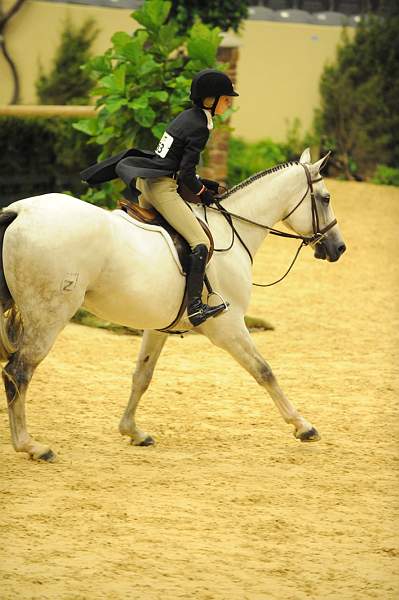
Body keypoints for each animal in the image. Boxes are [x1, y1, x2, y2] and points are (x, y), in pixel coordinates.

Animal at [0, 148, 346, 462]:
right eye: (326, 198)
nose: (339, 248)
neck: (232, 232)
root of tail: (20, 211)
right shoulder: (229, 327)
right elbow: (264, 371)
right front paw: (303, 426)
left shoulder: (158, 327)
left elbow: (142, 376)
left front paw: (133, 431)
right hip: (49, 314)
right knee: (18, 371)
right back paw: (30, 446)